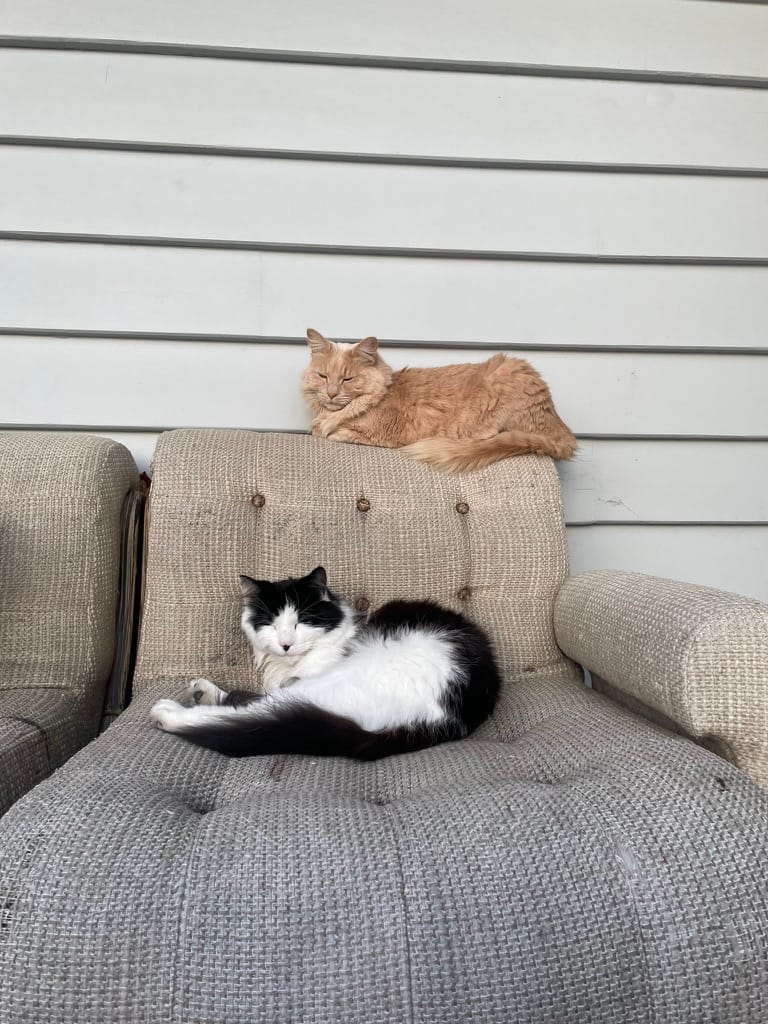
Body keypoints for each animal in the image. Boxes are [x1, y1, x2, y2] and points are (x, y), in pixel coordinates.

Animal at [301, 327, 577, 471]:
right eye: (323, 376)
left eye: (347, 379)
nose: (332, 393)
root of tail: (562, 429)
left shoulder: (383, 433)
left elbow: (337, 431)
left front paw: (328, 428)